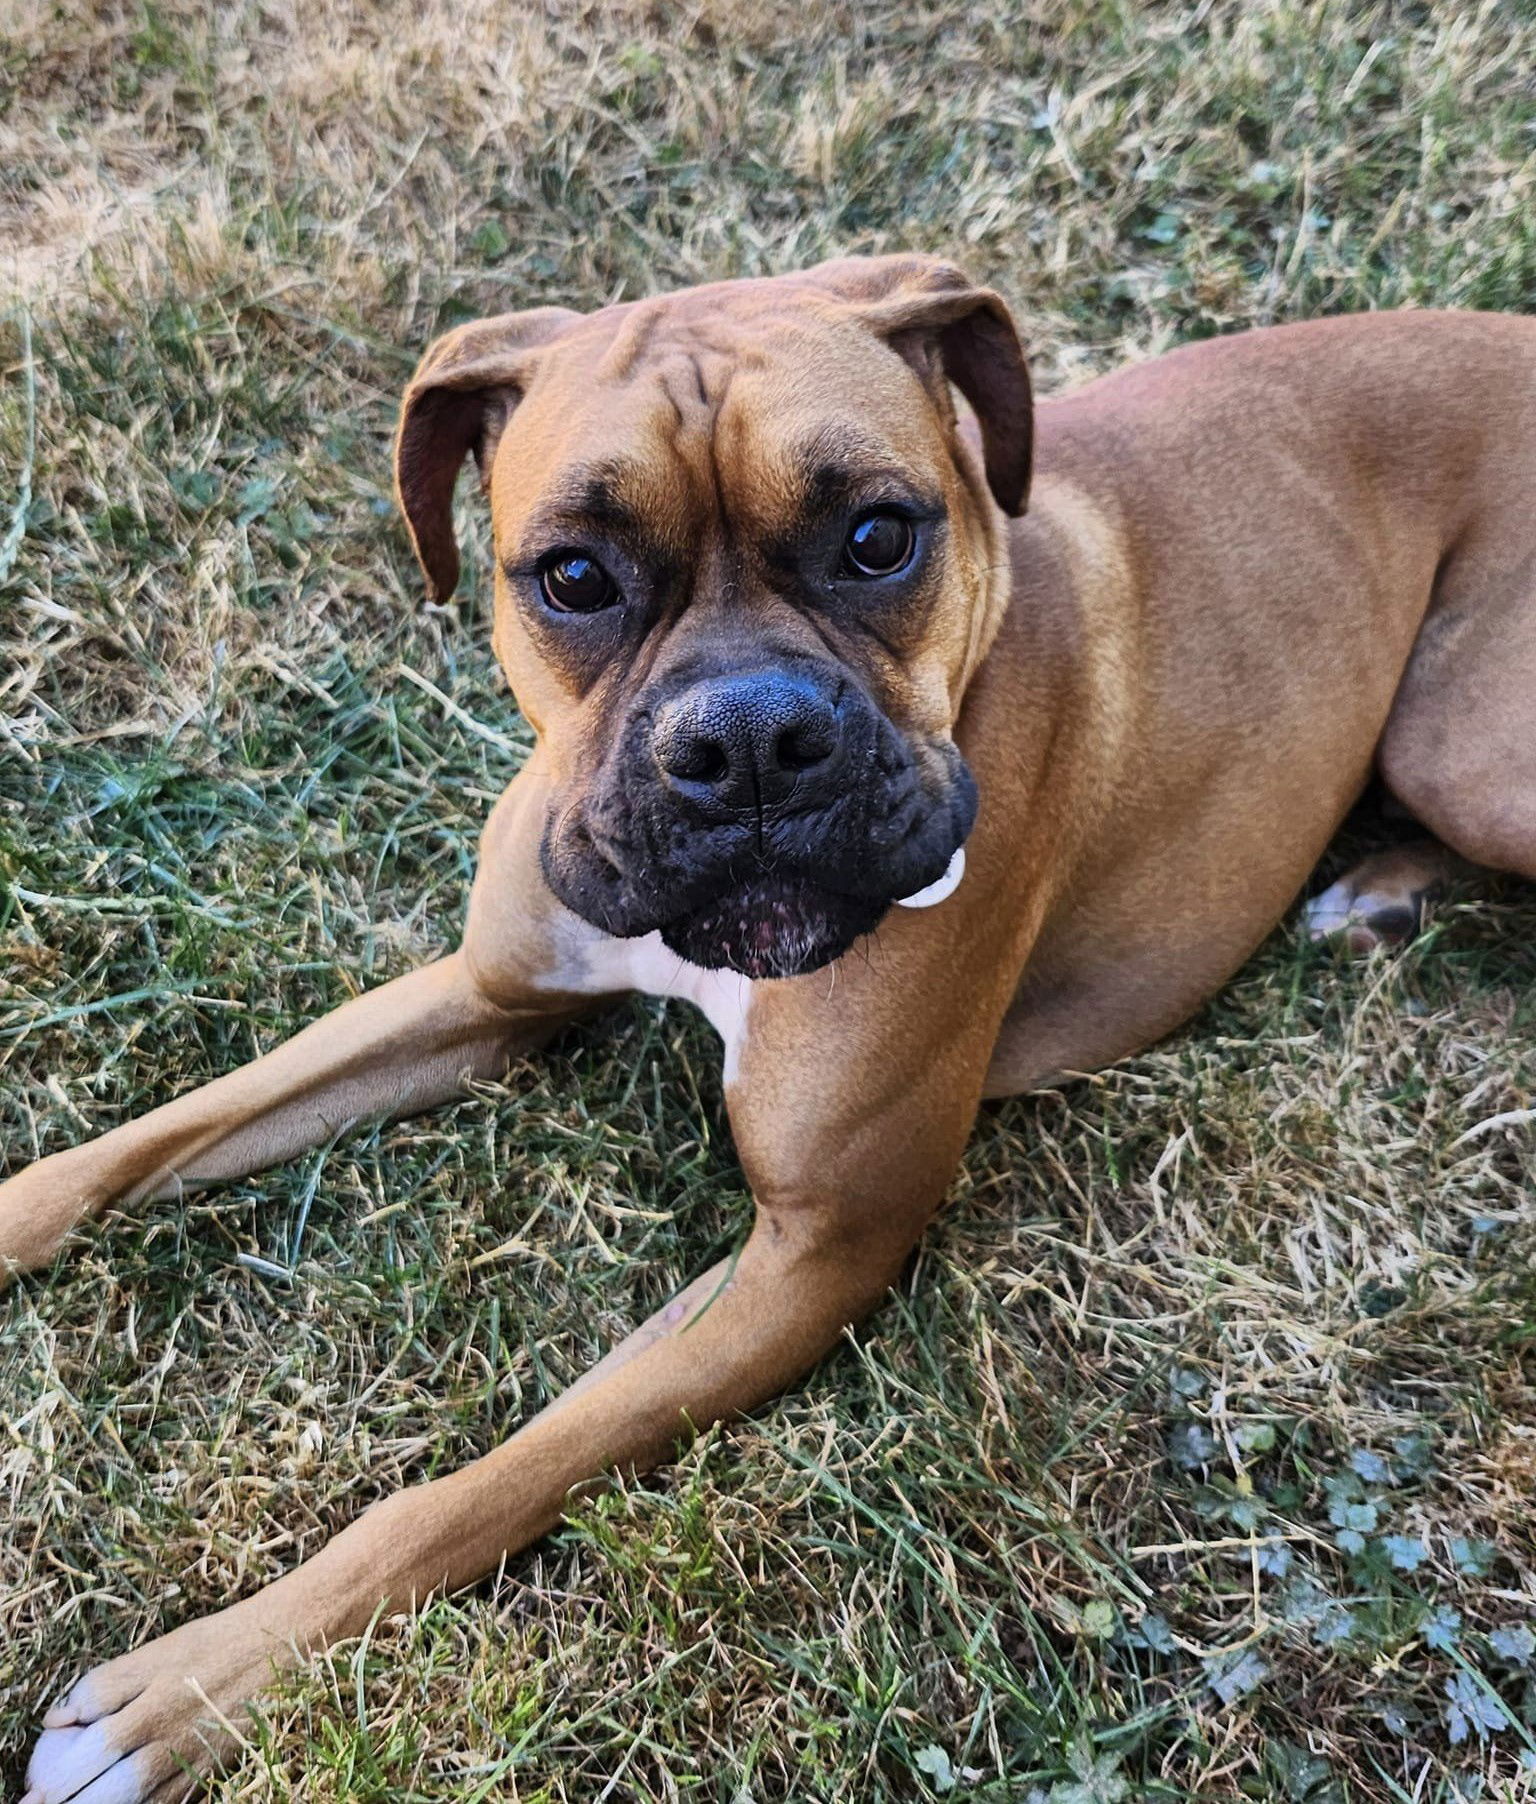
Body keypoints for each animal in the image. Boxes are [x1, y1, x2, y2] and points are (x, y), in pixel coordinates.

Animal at [9, 257, 1536, 1804]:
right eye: (574, 577)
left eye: (877, 537)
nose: (747, 739)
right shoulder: (492, 999)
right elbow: (156, 1136)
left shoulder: (814, 1252)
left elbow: (494, 1477)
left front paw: (187, 1691)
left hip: (1464, 757)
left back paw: (1382, 888)